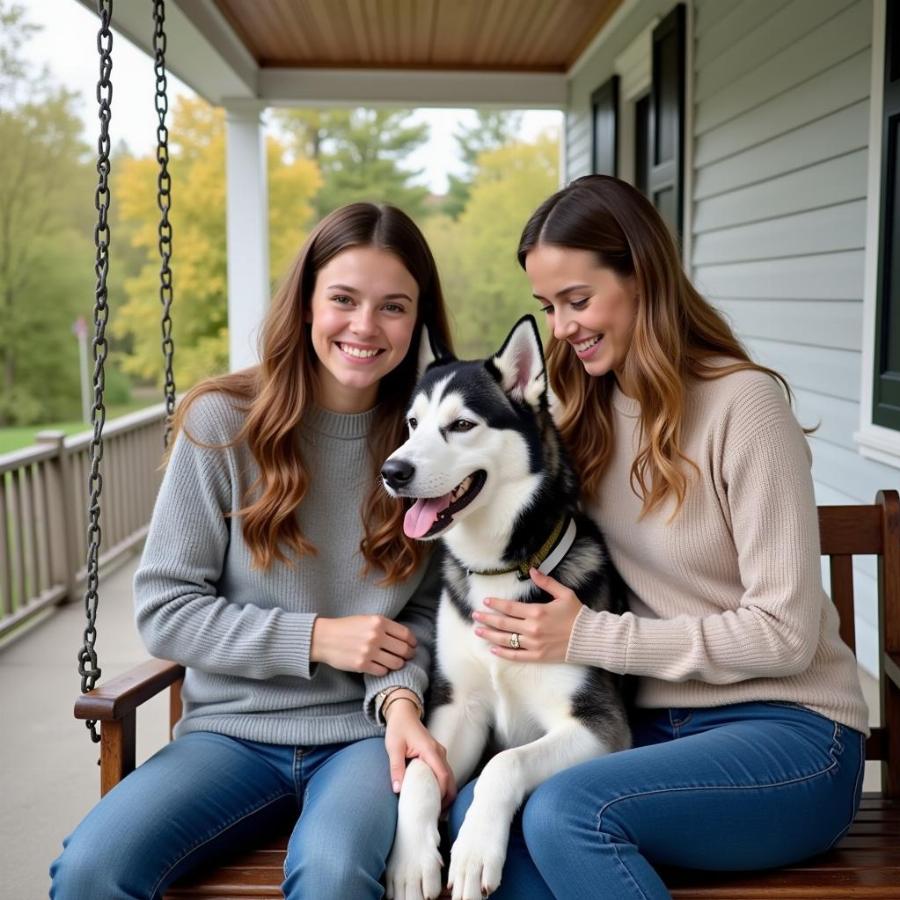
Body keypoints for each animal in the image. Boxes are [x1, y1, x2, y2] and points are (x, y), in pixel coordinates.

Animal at [382, 314, 632, 900]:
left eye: (461, 425)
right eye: (412, 424)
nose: (392, 471)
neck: (501, 571)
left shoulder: (600, 725)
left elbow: (503, 763)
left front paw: (475, 850)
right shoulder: (458, 708)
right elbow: (422, 770)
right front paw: (410, 860)